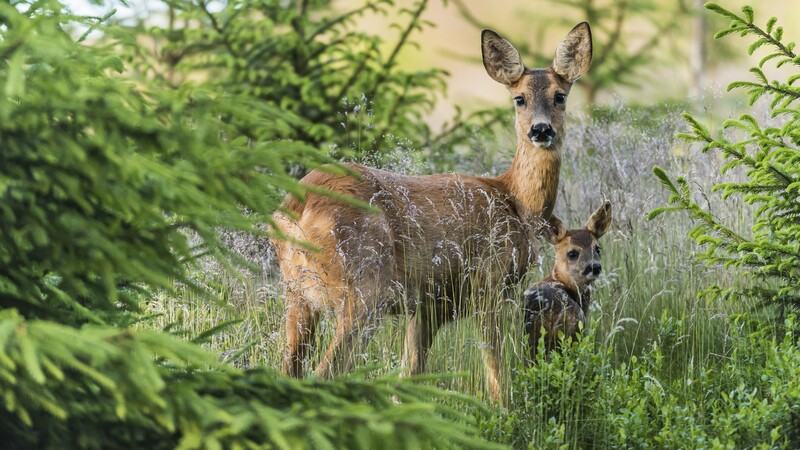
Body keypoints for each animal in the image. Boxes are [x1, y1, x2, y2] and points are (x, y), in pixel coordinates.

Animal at [272, 22, 592, 400]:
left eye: (560, 96)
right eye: (519, 98)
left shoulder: (428, 304)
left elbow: (409, 373)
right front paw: (504, 409)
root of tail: (297, 207)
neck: (515, 200)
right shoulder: (488, 279)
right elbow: (496, 365)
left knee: (289, 369)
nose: (541, 130)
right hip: (364, 287)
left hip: (297, 294)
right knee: (324, 371)